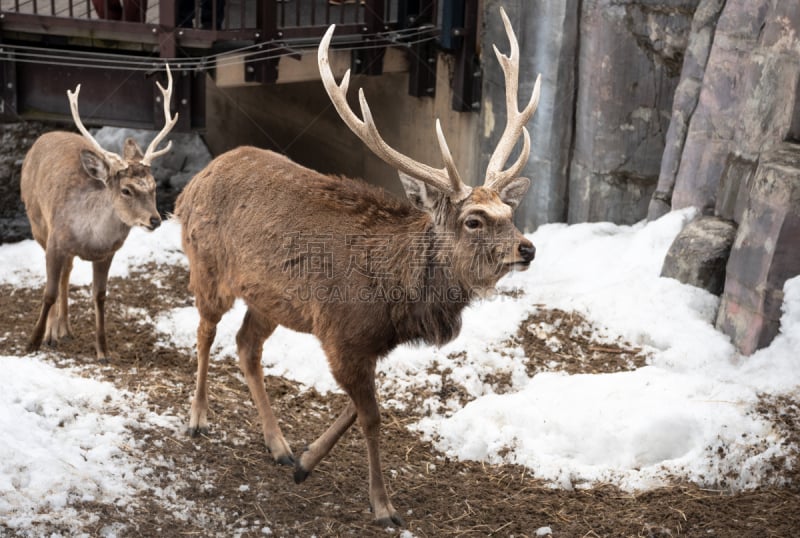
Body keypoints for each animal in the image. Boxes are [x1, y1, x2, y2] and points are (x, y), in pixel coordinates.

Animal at [21, 68, 178, 360]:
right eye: (126, 190)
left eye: (153, 186)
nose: (155, 220)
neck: (90, 238)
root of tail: (44, 136)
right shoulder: (55, 241)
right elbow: (48, 292)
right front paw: (33, 342)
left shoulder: (107, 253)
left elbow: (100, 296)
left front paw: (103, 350)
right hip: (36, 220)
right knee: (59, 275)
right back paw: (52, 333)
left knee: (68, 271)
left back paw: (64, 329)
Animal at [175, 8, 536, 524]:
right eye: (473, 220)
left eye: (509, 211)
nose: (527, 249)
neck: (398, 295)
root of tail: (191, 187)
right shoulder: (341, 333)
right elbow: (371, 416)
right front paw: (383, 505)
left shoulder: (369, 343)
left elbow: (356, 405)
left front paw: (305, 461)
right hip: (207, 268)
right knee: (205, 332)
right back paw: (198, 418)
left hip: (269, 300)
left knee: (247, 345)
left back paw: (279, 444)